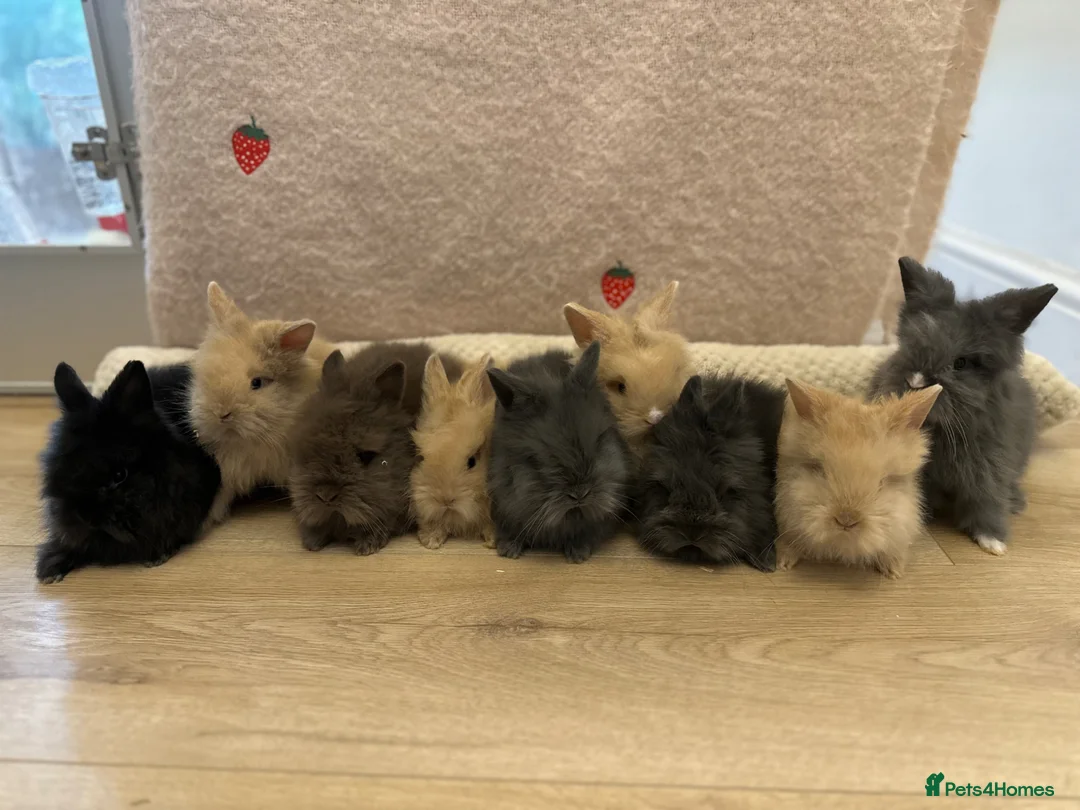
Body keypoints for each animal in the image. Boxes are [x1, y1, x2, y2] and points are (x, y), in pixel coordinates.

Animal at [189, 281, 336, 524]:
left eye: (256, 383)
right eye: (205, 375)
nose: (222, 414)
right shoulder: (230, 469)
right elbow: (221, 495)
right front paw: (206, 521)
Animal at [869, 257, 1057, 556]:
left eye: (961, 363)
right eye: (909, 347)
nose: (915, 381)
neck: (941, 430)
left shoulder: (990, 469)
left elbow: (987, 500)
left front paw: (993, 543)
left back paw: (1016, 503)